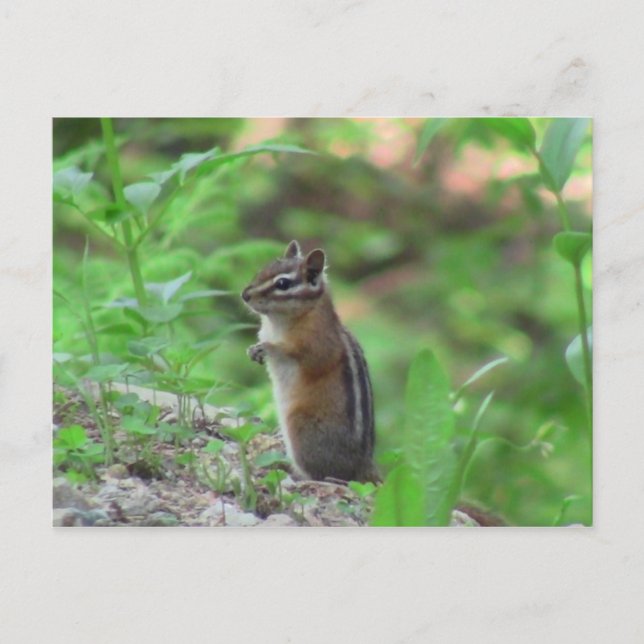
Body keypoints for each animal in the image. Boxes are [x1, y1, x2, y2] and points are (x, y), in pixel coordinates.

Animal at [241, 240, 379, 484]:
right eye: (264, 269)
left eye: (283, 284)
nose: (244, 294)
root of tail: (363, 466)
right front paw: (252, 349)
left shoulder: (318, 341)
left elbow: (307, 356)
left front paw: (267, 348)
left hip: (300, 426)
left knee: (325, 476)